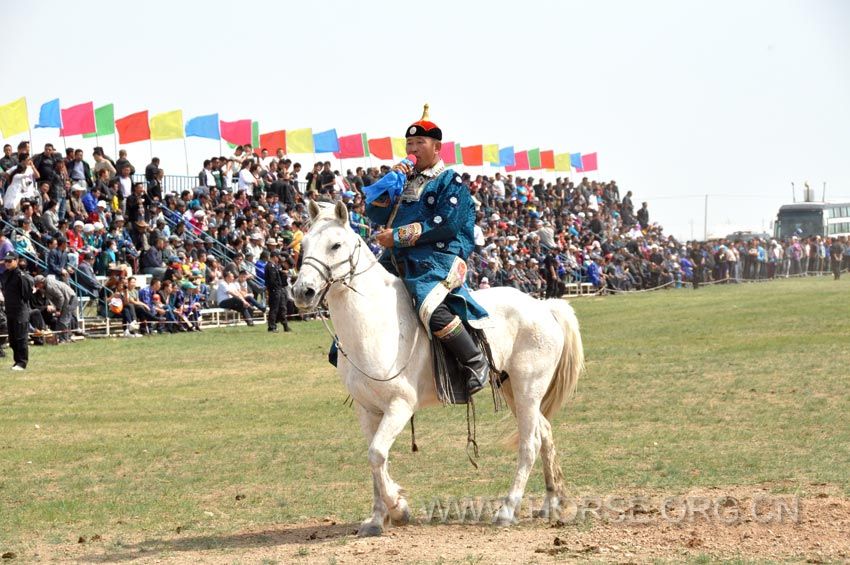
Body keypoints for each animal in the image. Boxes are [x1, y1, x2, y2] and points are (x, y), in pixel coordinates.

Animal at [294, 200, 584, 536]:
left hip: (528, 387)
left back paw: (507, 509)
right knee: (545, 432)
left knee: (530, 443)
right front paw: (377, 518)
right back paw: (551, 503)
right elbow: (375, 461)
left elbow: (377, 454)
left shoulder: (400, 405)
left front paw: (398, 508)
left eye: (335, 245)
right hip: (512, 387)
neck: (373, 323)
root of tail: (544, 306)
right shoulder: (368, 410)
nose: (302, 291)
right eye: (305, 244)